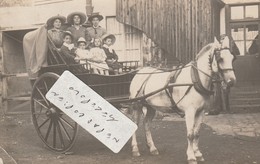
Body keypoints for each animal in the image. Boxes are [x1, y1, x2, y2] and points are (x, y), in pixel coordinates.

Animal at [129, 36, 237, 164]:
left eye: (232, 58)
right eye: (220, 59)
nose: (232, 81)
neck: (196, 79)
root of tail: (140, 72)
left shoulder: (201, 111)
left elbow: (196, 133)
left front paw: (198, 153)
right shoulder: (190, 111)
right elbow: (190, 134)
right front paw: (191, 156)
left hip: (151, 107)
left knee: (146, 124)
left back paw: (152, 148)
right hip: (137, 105)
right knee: (135, 124)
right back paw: (135, 149)